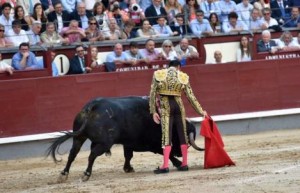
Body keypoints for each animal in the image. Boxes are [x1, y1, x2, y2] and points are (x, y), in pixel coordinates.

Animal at [46, 96, 204, 182]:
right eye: (182, 138)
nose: (180, 153)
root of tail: (92, 106)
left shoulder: (128, 143)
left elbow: (128, 155)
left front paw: (128, 168)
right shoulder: (151, 144)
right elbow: (166, 153)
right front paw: (179, 163)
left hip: (79, 137)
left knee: (72, 154)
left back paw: (63, 175)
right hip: (104, 143)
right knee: (92, 155)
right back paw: (86, 174)